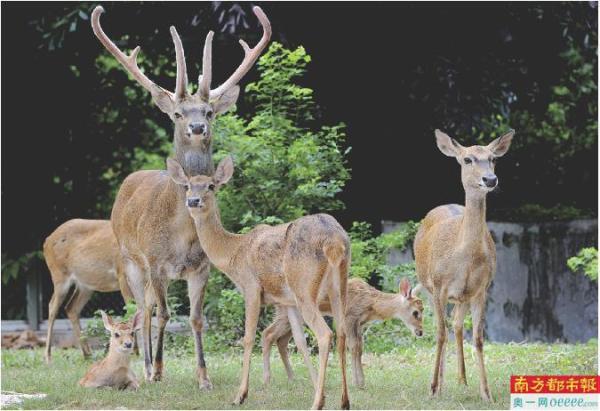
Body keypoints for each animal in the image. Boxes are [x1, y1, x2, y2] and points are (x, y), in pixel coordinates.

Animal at [42, 219, 134, 364]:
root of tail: (46, 241)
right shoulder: (122, 275)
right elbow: (131, 309)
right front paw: (135, 352)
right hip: (59, 276)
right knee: (52, 307)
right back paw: (48, 357)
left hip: (86, 285)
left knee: (71, 307)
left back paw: (87, 354)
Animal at [91, 4, 272, 388]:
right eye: (177, 113)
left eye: (209, 111)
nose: (197, 127)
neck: (183, 235)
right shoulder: (156, 262)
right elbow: (162, 315)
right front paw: (158, 369)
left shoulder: (202, 268)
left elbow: (195, 318)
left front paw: (203, 377)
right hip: (130, 260)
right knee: (144, 310)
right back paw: (146, 367)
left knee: (147, 307)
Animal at [166, 155, 350, 411]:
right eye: (187, 186)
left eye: (211, 185)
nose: (193, 200)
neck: (233, 252)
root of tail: (335, 242)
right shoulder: (287, 301)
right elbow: (300, 341)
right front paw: (316, 387)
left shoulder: (251, 288)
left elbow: (248, 337)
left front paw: (240, 395)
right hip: (337, 287)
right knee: (342, 333)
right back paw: (344, 401)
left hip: (304, 286)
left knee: (325, 334)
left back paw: (317, 404)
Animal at [262, 276, 426, 390]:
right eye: (416, 312)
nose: (420, 332)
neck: (371, 304)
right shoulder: (349, 317)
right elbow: (353, 347)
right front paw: (357, 382)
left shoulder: (359, 324)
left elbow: (359, 348)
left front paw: (361, 381)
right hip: (286, 314)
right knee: (268, 334)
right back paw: (268, 379)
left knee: (280, 340)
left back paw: (292, 378)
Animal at [412, 130, 516, 402]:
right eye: (467, 159)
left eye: (493, 159)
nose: (490, 179)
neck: (465, 258)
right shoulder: (439, 286)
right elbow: (439, 334)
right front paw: (432, 388)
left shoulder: (482, 289)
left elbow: (478, 338)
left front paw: (486, 393)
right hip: (428, 285)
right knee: (444, 328)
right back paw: (442, 382)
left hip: (463, 296)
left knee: (457, 325)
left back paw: (461, 379)